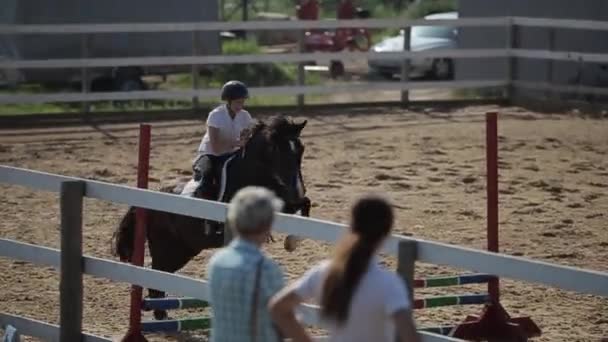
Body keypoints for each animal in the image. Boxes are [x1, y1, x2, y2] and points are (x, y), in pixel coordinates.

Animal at [110, 115, 308, 320]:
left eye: (301, 149)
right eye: (277, 149)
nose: (297, 190)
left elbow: (305, 204)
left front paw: (292, 241)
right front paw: (291, 241)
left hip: (184, 250)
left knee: (161, 275)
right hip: (167, 247)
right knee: (156, 273)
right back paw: (160, 314)